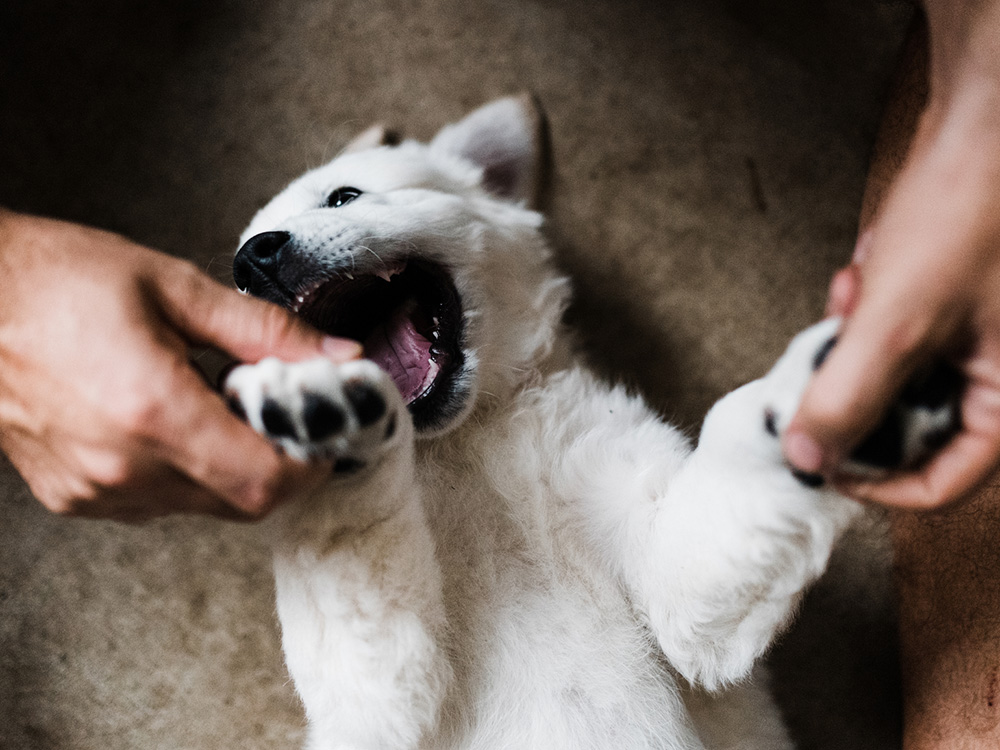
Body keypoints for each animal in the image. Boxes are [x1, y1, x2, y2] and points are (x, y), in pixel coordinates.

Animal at [221, 98, 920, 750]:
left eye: (344, 196)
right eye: (238, 288)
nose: (252, 262)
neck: (458, 444)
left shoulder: (680, 589)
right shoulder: (380, 703)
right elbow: (345, 536)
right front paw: (317, 420)